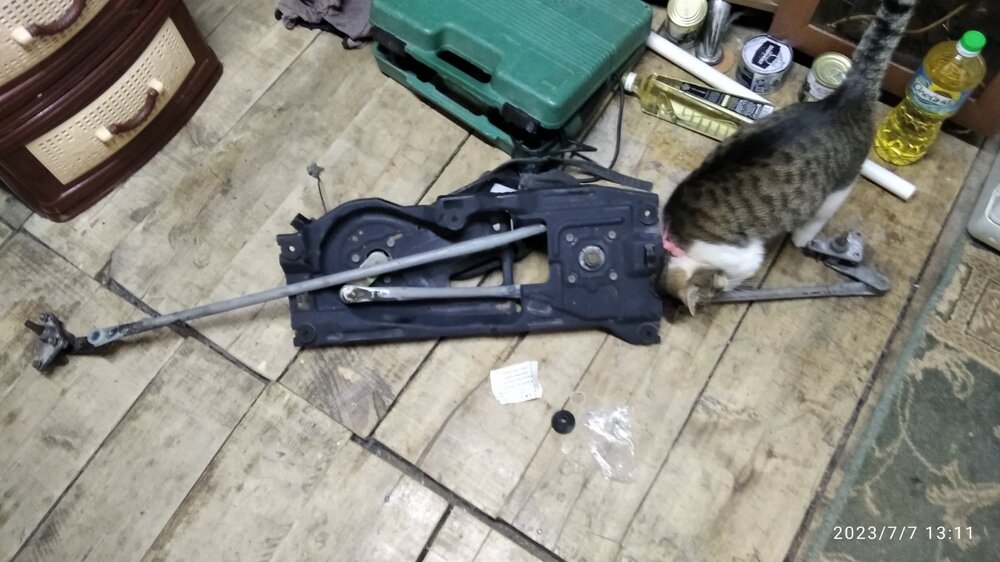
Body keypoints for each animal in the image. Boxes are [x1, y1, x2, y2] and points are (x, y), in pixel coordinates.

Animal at [658, 0, 917, 314]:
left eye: (712, 292)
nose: (717, 294)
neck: (677, 241)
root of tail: (845, 96)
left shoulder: (745, 257)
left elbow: (743, 269)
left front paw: (732, 285)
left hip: (837, 190)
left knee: (819, 215)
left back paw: (800, 237)